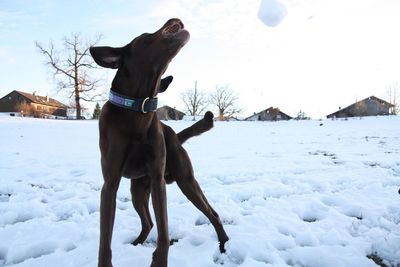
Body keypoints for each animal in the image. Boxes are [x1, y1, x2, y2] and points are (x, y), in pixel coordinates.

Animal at [90, 18, 228, 267]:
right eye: (146, 36)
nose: (173, 20)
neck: (137, 111)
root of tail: (175, 135)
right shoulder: (110, 184)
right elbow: (105, 241)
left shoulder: (157, 181)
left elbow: (163, 232)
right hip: (138, 191)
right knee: (148, 222)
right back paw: (137, 242)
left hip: (185, 180)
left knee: (211, 214)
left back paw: (224, 244)